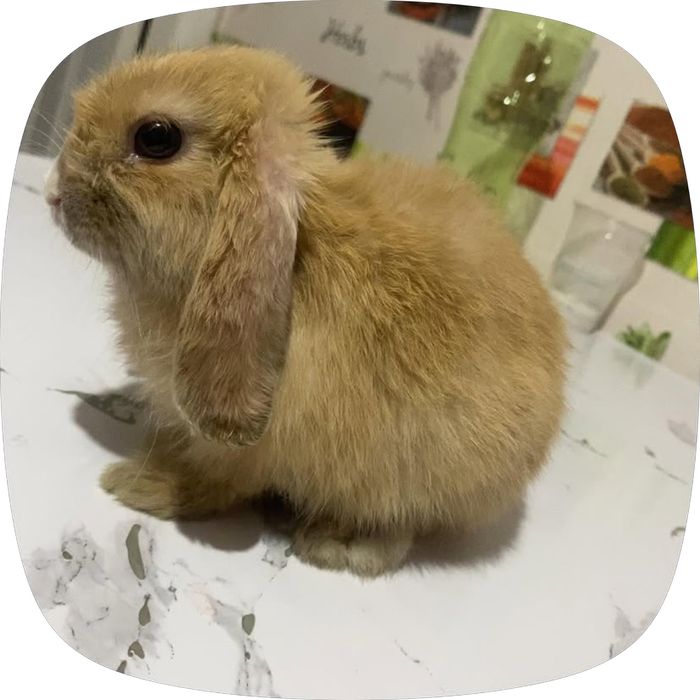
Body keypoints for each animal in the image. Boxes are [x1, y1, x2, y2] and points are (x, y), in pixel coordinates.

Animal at [45, 46, 567, 577]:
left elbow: (215, 480)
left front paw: (140, 484)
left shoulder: (246, 450)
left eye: (155, 138)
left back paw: (338, 543)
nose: (52, 193)